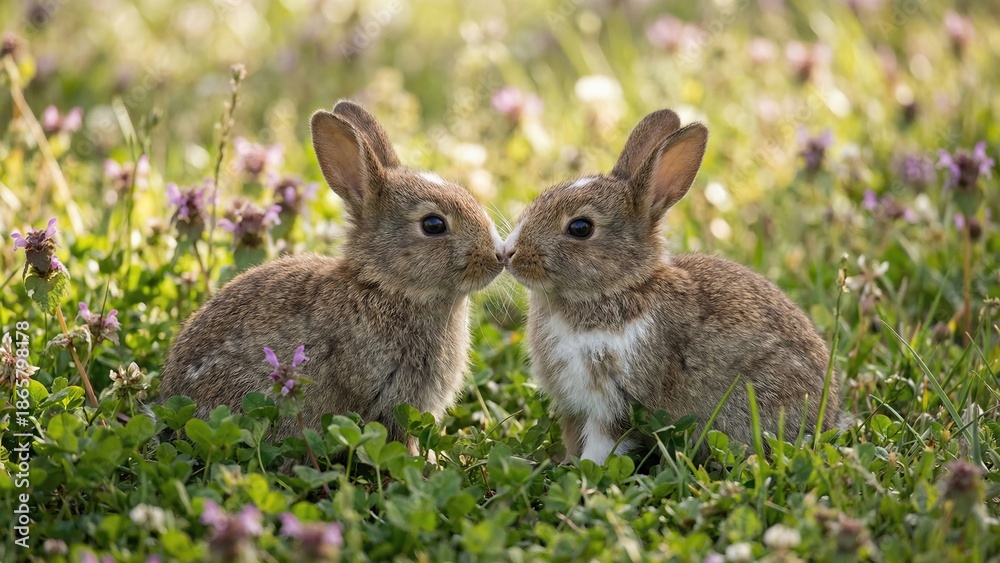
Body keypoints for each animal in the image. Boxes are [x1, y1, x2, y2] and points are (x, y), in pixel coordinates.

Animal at [501, 109, 840, 464]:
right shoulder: (574, 406)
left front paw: (585, 472)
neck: (620, 288)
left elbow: (603, 443)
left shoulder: (617, 399)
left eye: (580, 228)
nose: (509, 252)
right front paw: (567, 463)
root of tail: (829, 415)